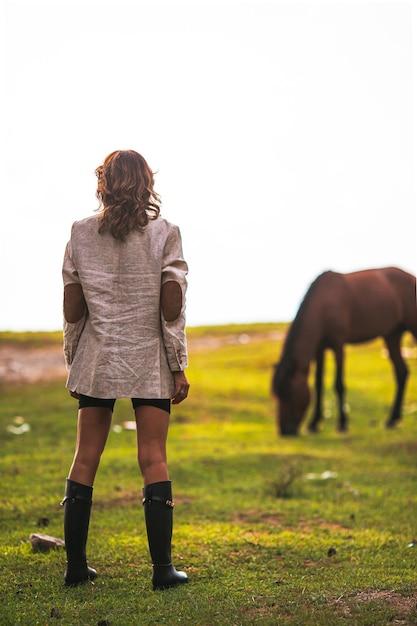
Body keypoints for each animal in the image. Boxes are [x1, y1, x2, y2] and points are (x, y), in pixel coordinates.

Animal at [270, 266, 416, 434]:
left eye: (289, 392)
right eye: (277, 394)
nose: (285, 431)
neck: (323, 305)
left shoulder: (338, 345)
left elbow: (338, 384)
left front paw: (342, 423)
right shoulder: (319, 349)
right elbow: (318, 384)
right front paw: (314, 423)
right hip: (392, 335)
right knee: (401, 372)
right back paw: (392, 419)